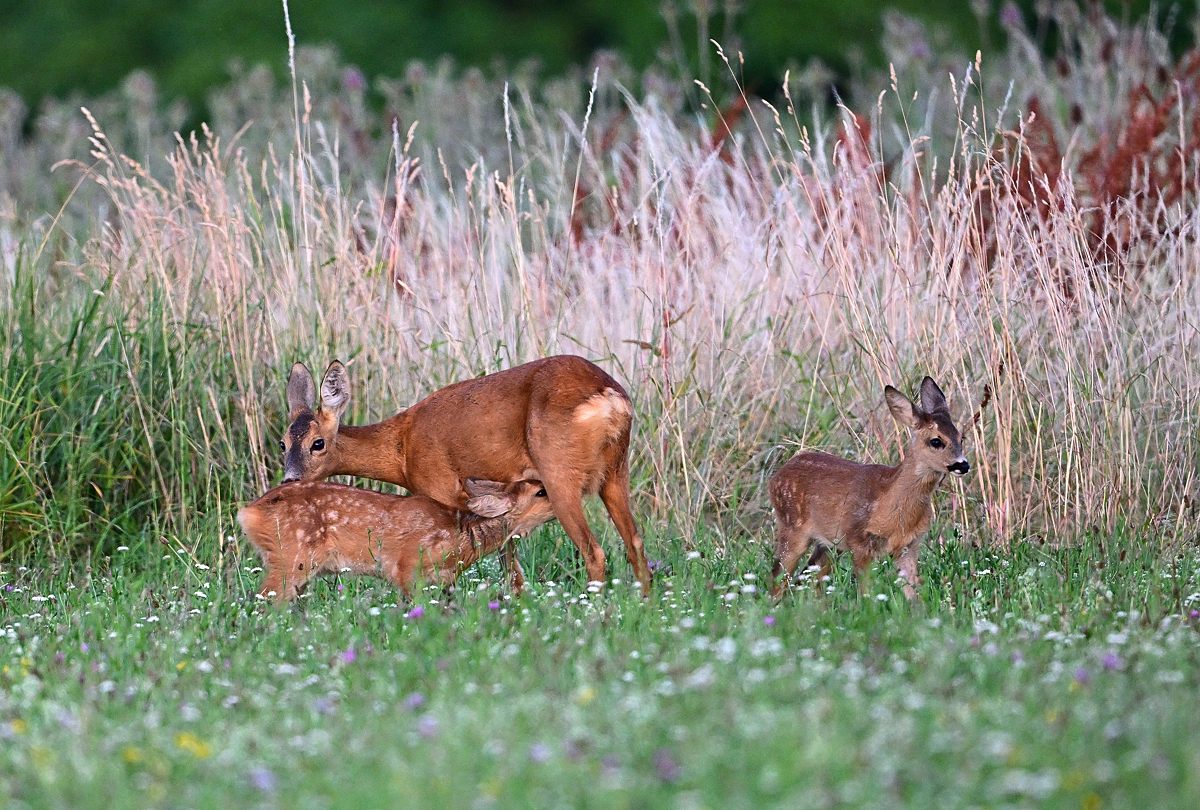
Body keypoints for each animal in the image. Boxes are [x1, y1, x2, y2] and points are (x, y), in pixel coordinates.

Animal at [237, 475, 552, 602]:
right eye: (540, 492)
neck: (460, 536)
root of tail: (249, 512)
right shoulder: (408, 568)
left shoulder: (444, 580)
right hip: (291, 557)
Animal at [277, 355, 652, 595]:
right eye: (283, 443)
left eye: (317, 443)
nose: (290, 479)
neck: (401, 448)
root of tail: (611, 399)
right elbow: (510, 565)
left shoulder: (441, 489)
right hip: (616, 472)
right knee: (635, 543)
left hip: (560, 475)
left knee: (595, 552)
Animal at [768, 376, 974, 600]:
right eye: (936, 441)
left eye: (961, 438)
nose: (963, 465)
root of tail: (776, 476)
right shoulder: (859, 540)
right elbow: (866, 592)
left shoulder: (909, 546)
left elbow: (913, 593)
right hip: (792, 526)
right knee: (777, 577)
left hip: (829, 544)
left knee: (811, 576)